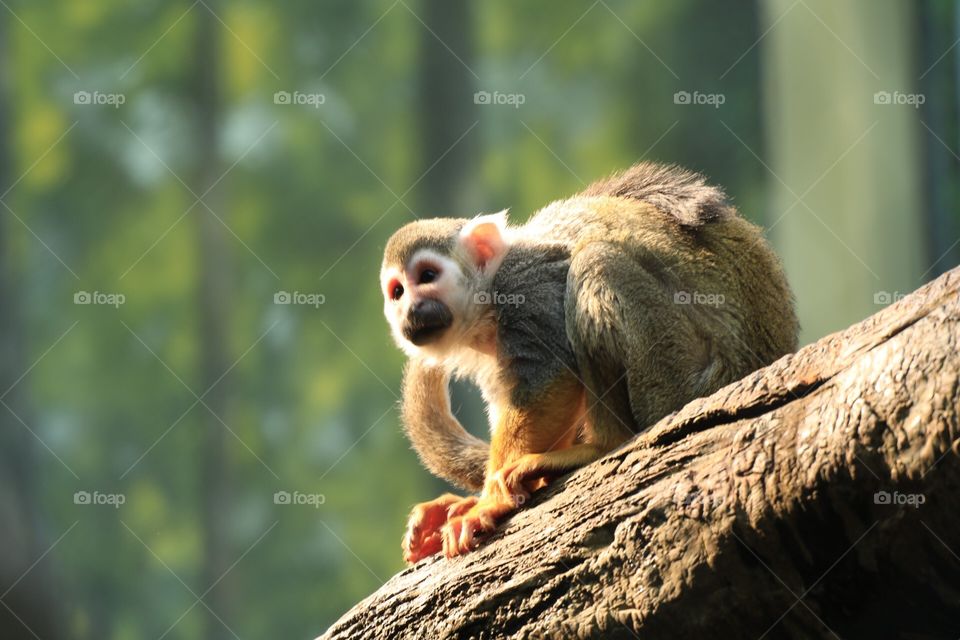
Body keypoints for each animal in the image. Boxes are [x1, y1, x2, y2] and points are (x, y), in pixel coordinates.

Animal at [380, 162, 798, 563]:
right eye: (397, 292)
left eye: (428, 276)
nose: (411, 310)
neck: (487, 301)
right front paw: (480, 496)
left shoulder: (527, 291)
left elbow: (550, 382)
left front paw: (488, 503)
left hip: (688, 379)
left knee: (595, 262)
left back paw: (600, 447)